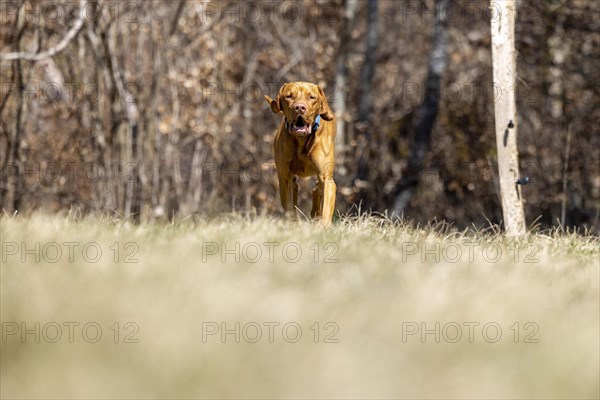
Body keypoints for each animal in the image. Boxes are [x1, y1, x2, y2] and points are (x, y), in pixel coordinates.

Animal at [264, 82, 336, 223]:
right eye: (289, 96)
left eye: (311, 97)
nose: (299, 108)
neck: (301, 139)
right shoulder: (285, 177)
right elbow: (289, 206)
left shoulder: (327, 178)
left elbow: (326, 208)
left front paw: (323, 225)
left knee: (317, 189)